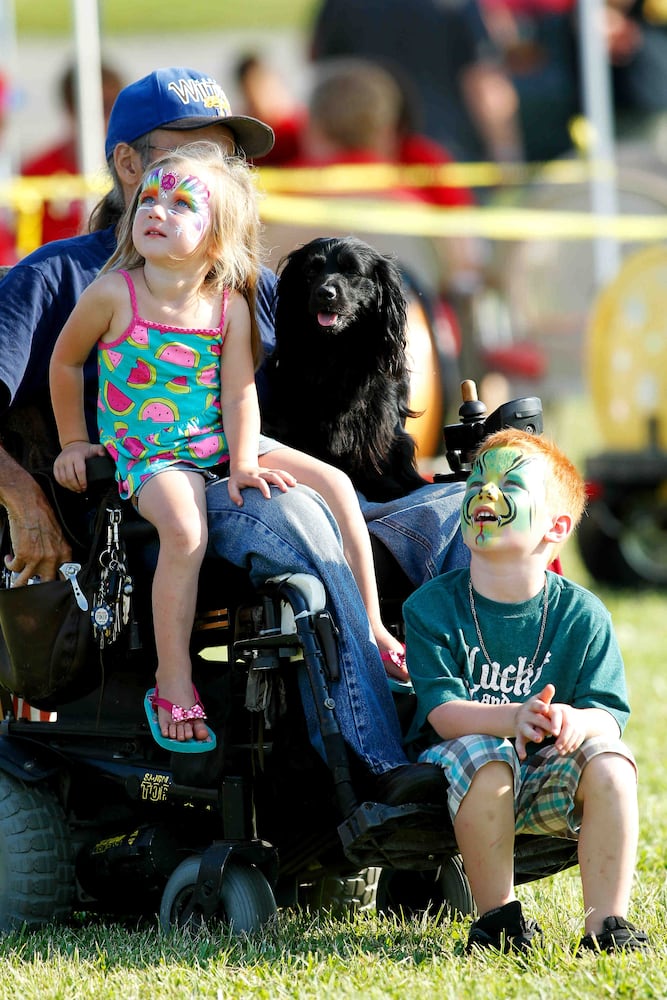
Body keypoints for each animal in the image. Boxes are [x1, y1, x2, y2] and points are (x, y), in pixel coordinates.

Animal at [260, 234, 428, 500]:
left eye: (352, 271)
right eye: (311, 270)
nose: (324, 293)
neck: (336, 350)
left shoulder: (379, 417)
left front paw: (386, 488)